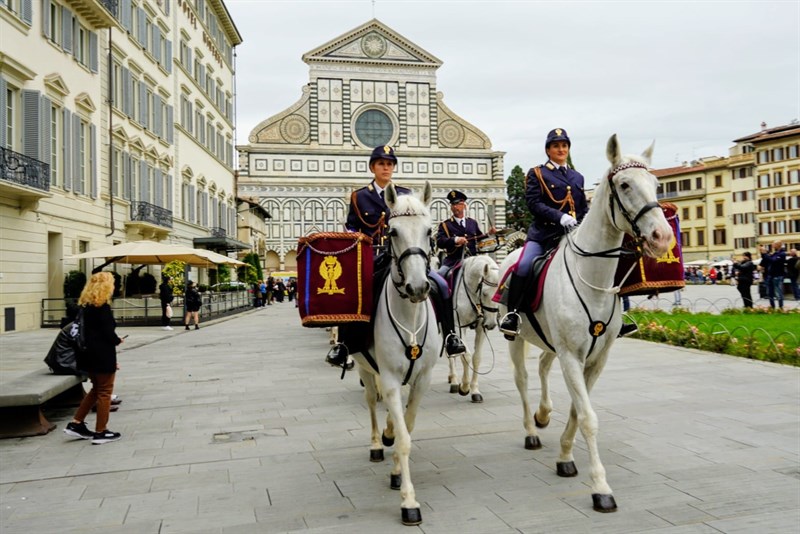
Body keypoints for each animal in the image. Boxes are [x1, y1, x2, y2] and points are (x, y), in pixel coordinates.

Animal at [352, 181, 440, 528]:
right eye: (392, 232)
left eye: (430, 231)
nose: (418, 287)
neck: (410, 317)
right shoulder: (388, 378)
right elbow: (404, 439)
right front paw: (409, 501)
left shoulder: (423, 379)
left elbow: (408, 425)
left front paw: (396, 473)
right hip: (364, 368)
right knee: (370, 403)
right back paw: (379, 442)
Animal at [446, 255, 496, 402]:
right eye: (484, 293)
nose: (491, 324)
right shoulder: (459, 327)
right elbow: (466, 356)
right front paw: (464, 387)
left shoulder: (481, 328)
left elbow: (476, 358)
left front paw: (474, 390)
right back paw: (455, 381)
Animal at [500, 136, 676, 512]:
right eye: (624, 185)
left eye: (656, 184)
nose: (662, 236)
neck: (592, 278)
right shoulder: (571, 356)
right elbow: (589, 418)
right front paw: (600, 487)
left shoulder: (594, 359)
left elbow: (578, 411)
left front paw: (565, 456)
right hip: (516, 338)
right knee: (523, 379)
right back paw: (531, 430)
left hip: (551, 342)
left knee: (542, 367)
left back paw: (543, 414)